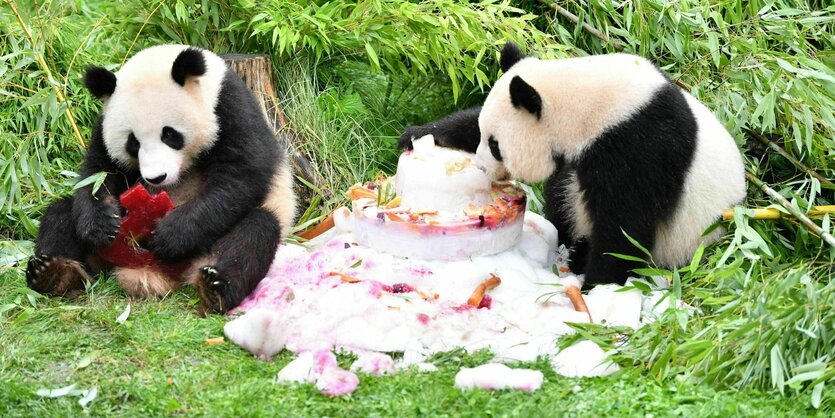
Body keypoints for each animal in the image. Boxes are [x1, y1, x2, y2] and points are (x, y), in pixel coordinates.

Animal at [26, 45, 298, 314]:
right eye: (133, 142)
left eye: (169, 134)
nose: (156, 178)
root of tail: (153, 273)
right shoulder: (102, 125)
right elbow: (97, 174)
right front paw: (101, 225)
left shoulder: (230, 108)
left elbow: (240, 176)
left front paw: (169, 235)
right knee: (60, 213)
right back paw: (54, 274)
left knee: (256, 232)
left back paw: (215, 288)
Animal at [402, 43, 748, 288]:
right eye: (485, 137)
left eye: (496, 146)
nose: (484, 169)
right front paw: (418, 134)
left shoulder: (638, 147)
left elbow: (625, 224)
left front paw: (596, 287)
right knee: (564, 194)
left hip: (685, 242)